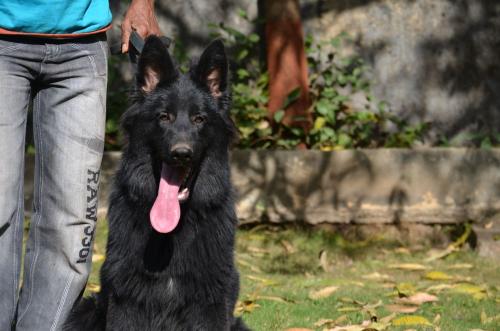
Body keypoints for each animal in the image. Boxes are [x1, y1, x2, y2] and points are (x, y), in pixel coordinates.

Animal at [64, 36, 250, 331]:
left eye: (199, 119)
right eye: (164, 117)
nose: (181, 153)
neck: (171, 233)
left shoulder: (210, 303)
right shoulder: (126, 300)